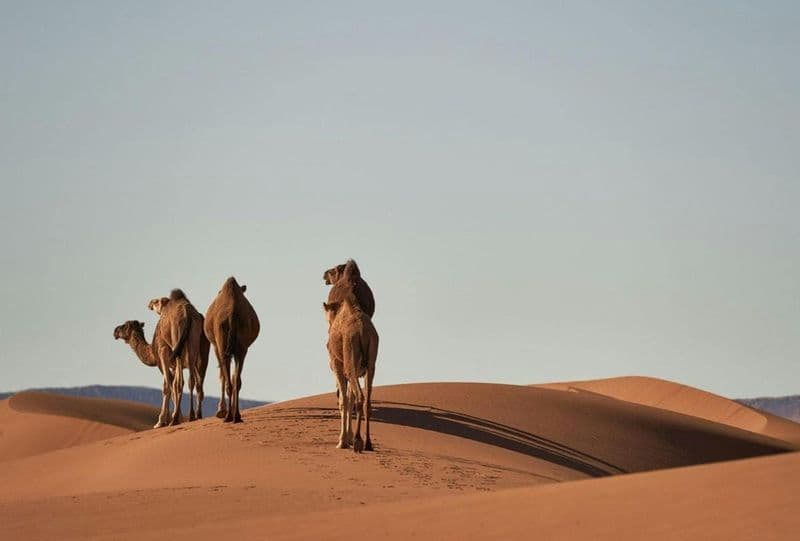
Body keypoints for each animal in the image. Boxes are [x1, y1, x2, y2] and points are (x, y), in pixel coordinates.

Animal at [204, 277, 260, 423]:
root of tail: (232, 314)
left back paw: (228, 416)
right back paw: (236, 416)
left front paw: (220, 411)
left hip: (222, 342)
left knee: (229, 379)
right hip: (242, 347)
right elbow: (233, 376)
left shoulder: (216, 347)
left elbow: (222, 375)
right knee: (237, 380)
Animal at [323, 263, 379, 452]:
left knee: (359, 397)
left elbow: (344, 400)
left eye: (332, 271)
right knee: (366, 399)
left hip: (350, 362)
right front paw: (346, 438)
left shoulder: (337, 364)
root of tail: (362, 331)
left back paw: (358, 441)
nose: (324, 275)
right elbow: (349, 398)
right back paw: (368, 443)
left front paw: (342, 441)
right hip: (371, 362)